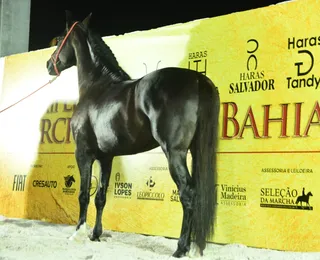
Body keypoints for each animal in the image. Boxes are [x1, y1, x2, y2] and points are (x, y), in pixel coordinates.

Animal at [46, 10, 220, 258]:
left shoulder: (83, 153)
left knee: (187, 194)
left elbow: (83, 194)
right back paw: (194, 248)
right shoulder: (106, 157)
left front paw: (78, 233)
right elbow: (100, 197)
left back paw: (180, 248)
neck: (97, 87)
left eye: (60, 39)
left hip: (175, 153)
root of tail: (197, 79)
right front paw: (95, 235)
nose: (48, 65)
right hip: (195, 151)